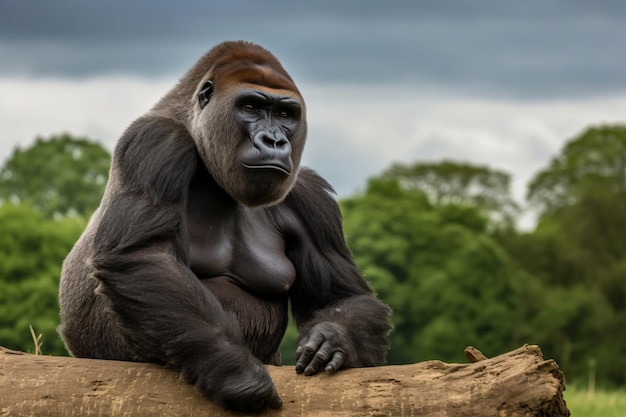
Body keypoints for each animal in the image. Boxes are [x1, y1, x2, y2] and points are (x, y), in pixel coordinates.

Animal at [58, 40, 390, 412]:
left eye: (285, 115)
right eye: (251, 107)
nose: (275, 141)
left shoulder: (310, 197)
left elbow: (340, 296)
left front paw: (333, 337)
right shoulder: (156, 141)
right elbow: (144, 256)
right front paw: (239, 376)